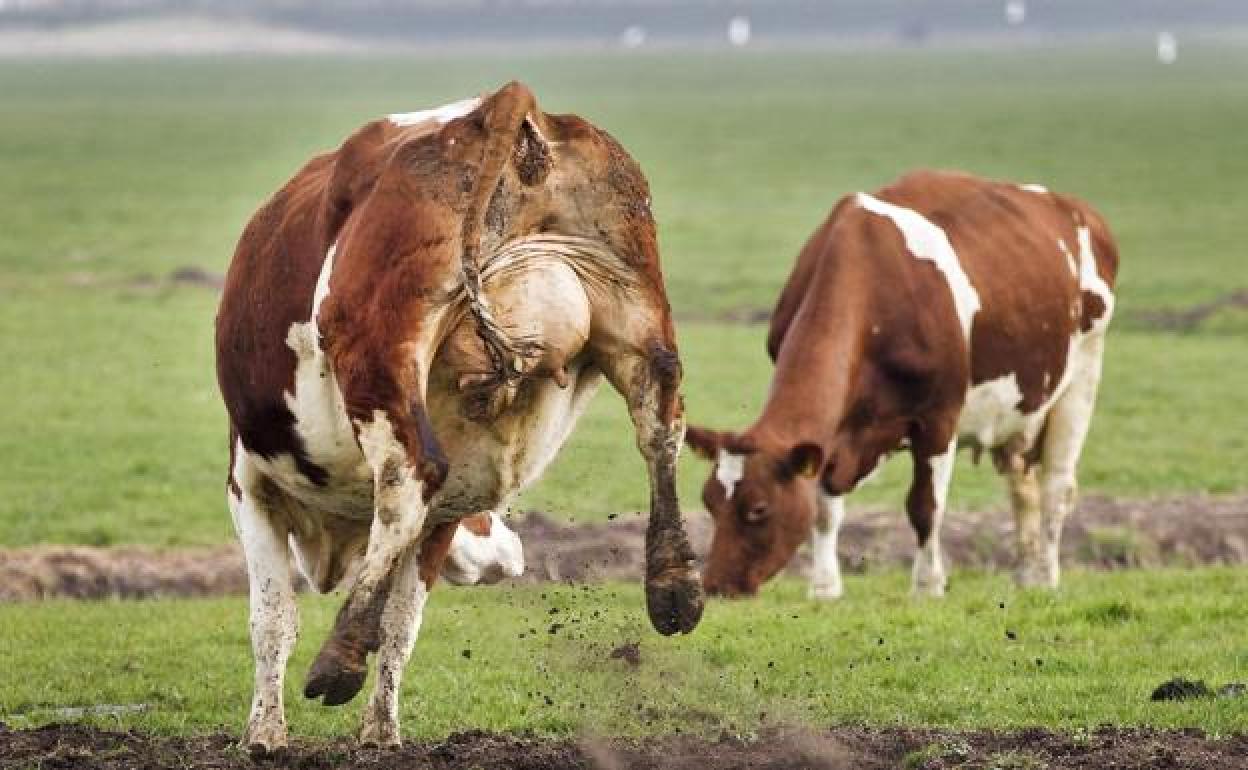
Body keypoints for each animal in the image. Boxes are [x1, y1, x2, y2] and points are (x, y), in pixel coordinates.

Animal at [215, 82, 703, 751]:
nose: (510, 554)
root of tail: (502, 105)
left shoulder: (250, 482)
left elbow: (272, 620)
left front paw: (264, 733)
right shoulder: (448, 511)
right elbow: (401, 624)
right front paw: (380, 732)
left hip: (381, 358)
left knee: (408, 477)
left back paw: (340, 657)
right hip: (635, 309)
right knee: (659, 426)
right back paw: (674, 586)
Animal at [684, 170, 1117, 600]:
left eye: (758, 509)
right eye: (709, 502)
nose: (716, 586)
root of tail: (1077, 209)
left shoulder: (939, 418)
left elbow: (926, 506)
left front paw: (928, 585)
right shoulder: (835, 432)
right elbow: (824, 510)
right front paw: (825, 588)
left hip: (1083, 375)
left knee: (1056, 487)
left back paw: (1046, 576)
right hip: (1022, 408)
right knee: (1022, 486)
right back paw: (1026, 576)